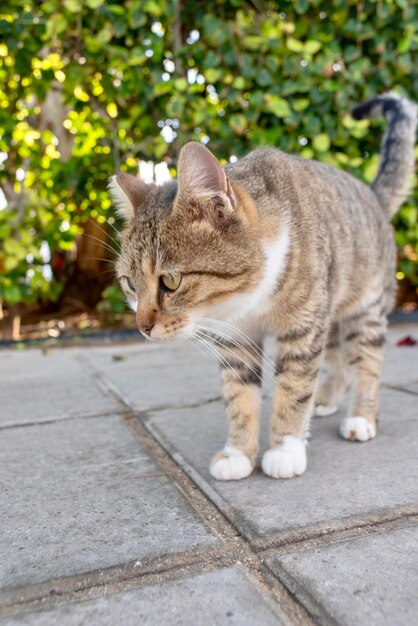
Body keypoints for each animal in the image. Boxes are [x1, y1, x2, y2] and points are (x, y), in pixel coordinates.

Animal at [109, 92, 416, 480]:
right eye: (130, 284)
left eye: (170, 281)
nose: (142, 327)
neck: (247, 300)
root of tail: (373, 196)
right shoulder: (234, 339)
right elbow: (239, 396)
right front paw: (238, 453)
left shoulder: (303, 328)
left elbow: (294, 387)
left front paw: (285, 448)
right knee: (337, 357)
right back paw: (327, 399)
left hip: (365, 308)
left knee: (368, 360)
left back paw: (361, 416)